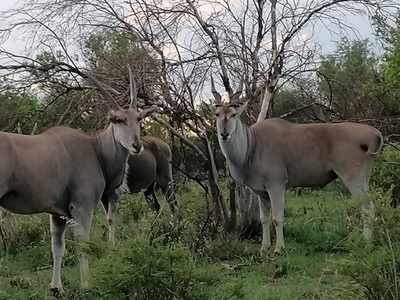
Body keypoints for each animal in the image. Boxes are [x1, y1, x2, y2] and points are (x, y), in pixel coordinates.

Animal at [0, 68, 156, 296]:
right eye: (118, 120)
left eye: (138, 119)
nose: (137, 145)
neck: (95, 149)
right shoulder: (82, 207)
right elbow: (83, 243)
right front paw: (86, 284)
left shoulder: (58, 215)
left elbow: (58, 247)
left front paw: (56, 288)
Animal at [211, 76, 382, 254]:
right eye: (217, 114)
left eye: (233, 115)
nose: (224, 134)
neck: (252, 144)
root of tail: (374, 132)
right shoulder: (262, 193)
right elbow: (264, 219)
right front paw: (264, 247)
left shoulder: (276, 186)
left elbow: (277, 218)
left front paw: (279, 248)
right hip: (364, 180)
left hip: (353, 179)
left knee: (368, 209)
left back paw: (366, 245)